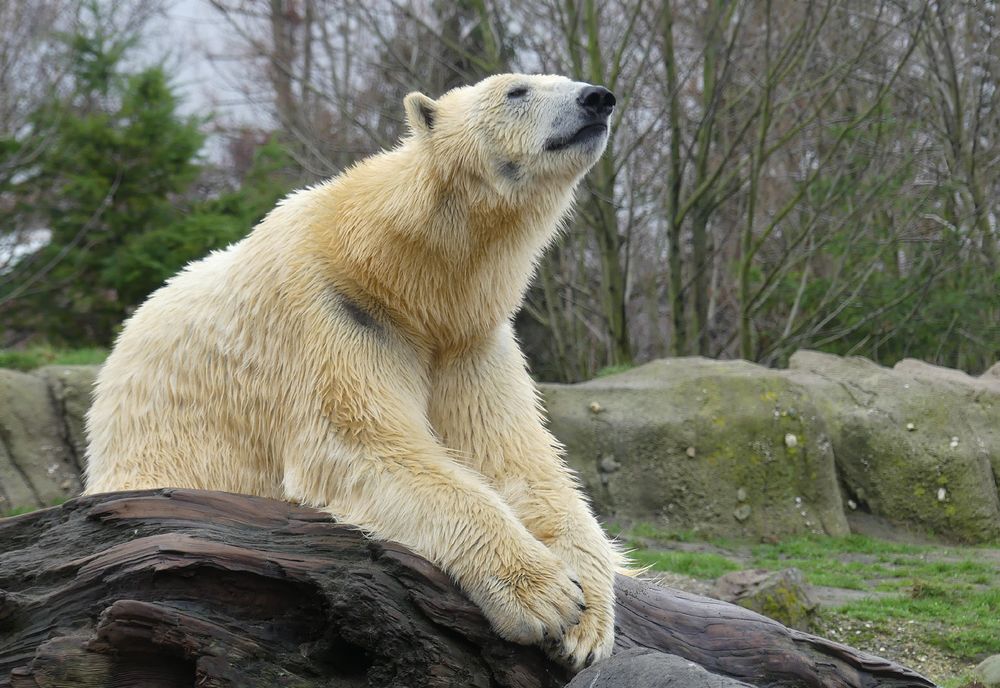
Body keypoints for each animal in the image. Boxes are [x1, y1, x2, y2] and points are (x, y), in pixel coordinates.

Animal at [86, 74, 620, 668]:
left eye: (562, 79)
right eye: (517, 91)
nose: (597, 97)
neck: (399, 272)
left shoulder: (468, 341)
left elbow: (518, 460)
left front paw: (588, 620)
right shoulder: (335, 309)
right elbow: (363, 445)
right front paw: (544, 597)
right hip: (155, 448)